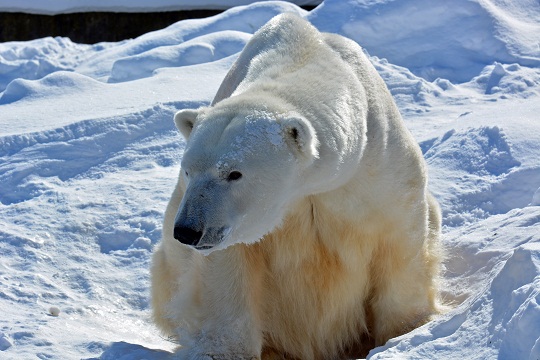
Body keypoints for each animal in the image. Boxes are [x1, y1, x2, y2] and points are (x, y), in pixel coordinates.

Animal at [150, 13, 440, 360]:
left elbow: (398, 238)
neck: (306, 54)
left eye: (234, 173)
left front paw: (406, 332)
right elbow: (229, 271)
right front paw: (225, 351)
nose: (188, 230)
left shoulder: (377, 168)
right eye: (188, 171)